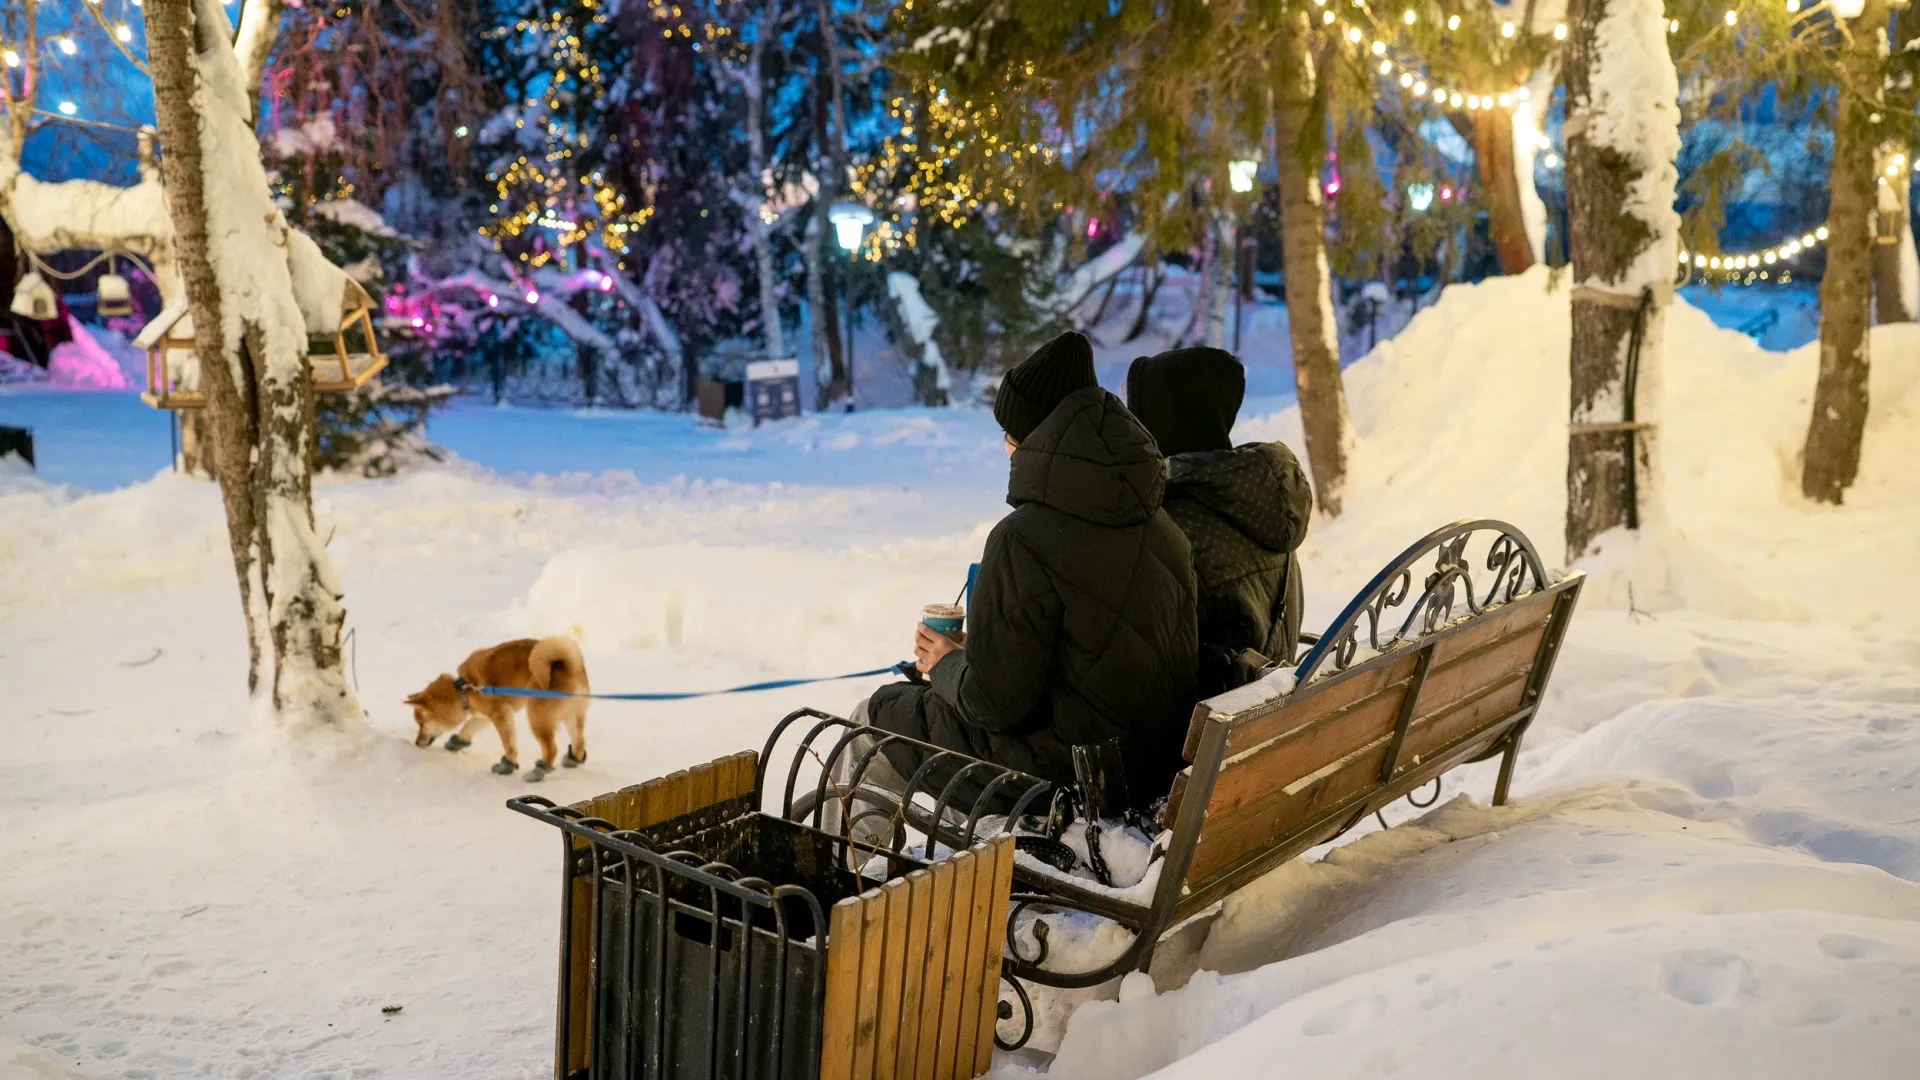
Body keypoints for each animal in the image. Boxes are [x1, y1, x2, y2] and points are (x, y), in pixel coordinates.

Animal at [405, 634, 583, 776]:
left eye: (421, 723)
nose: (416, 742)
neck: (463, 688)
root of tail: (568, 667)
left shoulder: (501, 713)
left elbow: (509, 744)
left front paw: (507, 765)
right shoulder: (484, 716)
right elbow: (468, 727)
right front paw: (457, 742)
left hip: (536, 717)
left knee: (551, 749)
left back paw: (539, 771)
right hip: (572, 718)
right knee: (579, 742)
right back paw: (573, 759)